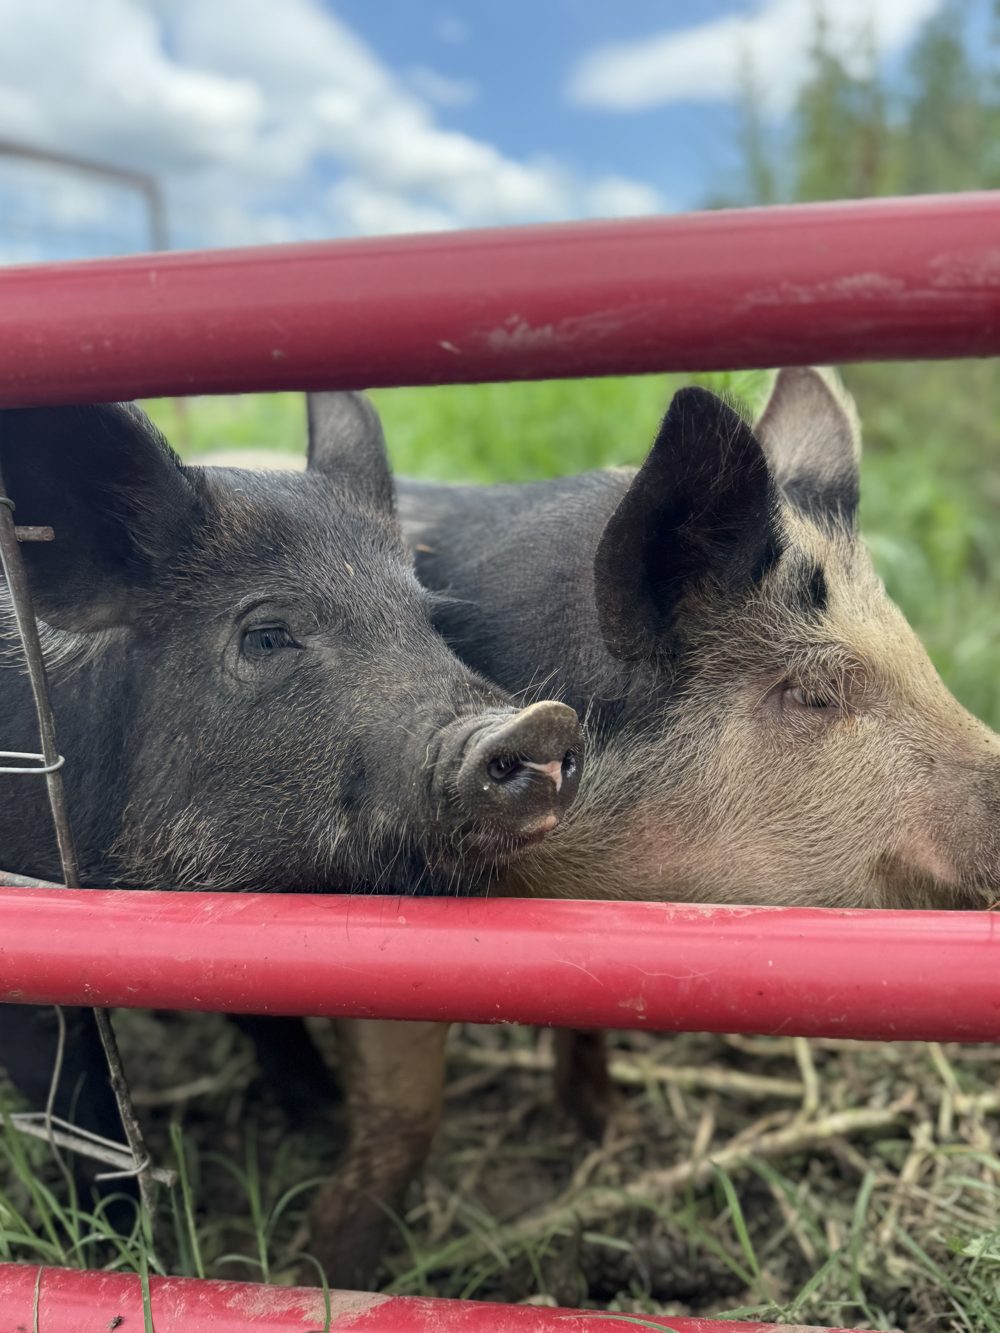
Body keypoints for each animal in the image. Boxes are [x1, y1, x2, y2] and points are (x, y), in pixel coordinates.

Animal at [0, 391, 582, 1210]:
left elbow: (264, 1011)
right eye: (268, 635)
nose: (544, 719)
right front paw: (129, 1227)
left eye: (427, 619)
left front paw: (324, 1115)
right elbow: (80, 1115)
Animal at [305, 368, 1000, 1288]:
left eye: (919, 652)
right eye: (815, 694)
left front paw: (614, 1129)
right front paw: (327, 1273)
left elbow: (589, 1016)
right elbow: (403, 1111)